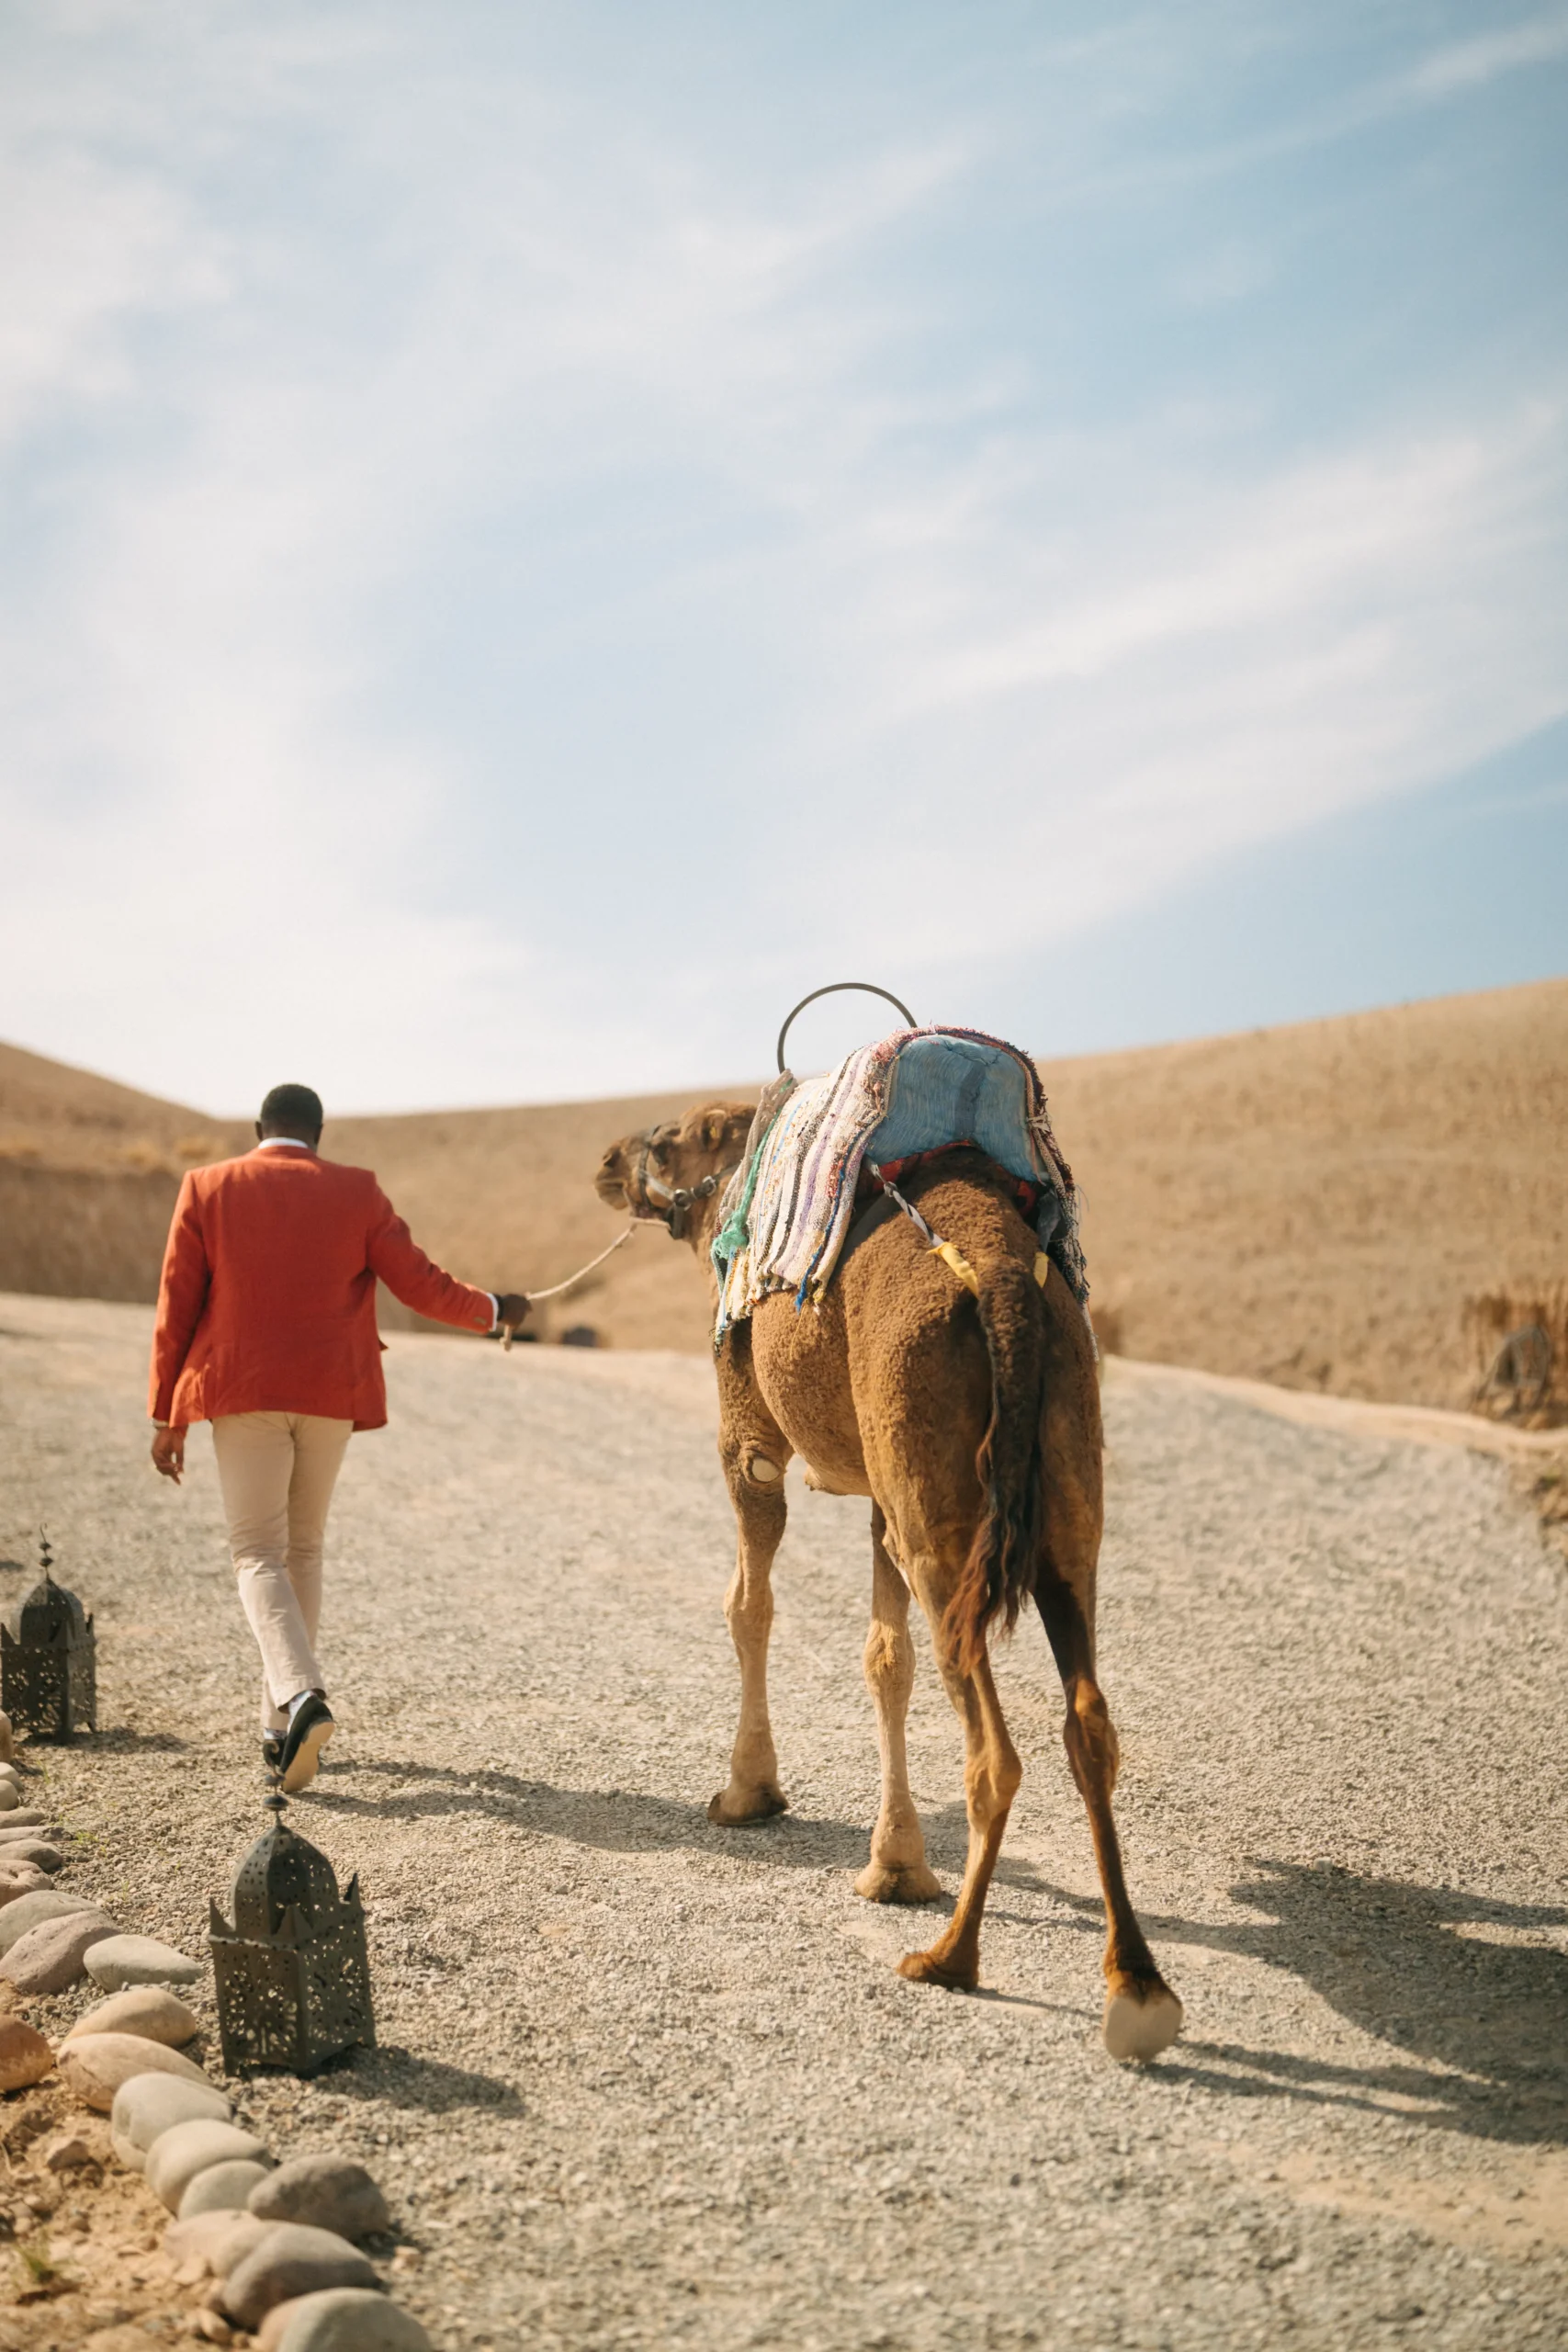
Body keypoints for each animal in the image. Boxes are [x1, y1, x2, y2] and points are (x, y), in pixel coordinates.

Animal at [595, 1100, 1183, 2060]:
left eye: (670, 1137)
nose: (608, 1160)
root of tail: (1005, 1286)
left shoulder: (747, 1427)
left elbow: (748, 1605)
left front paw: (748, 1792)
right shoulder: (882, 1486)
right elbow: (885, 1657)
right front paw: (896, 1863)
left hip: (938, 1496)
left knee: (992, 1752)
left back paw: (950, 1957)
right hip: (1061, 1498)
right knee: (1088, 1725)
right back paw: (1136, 1987)